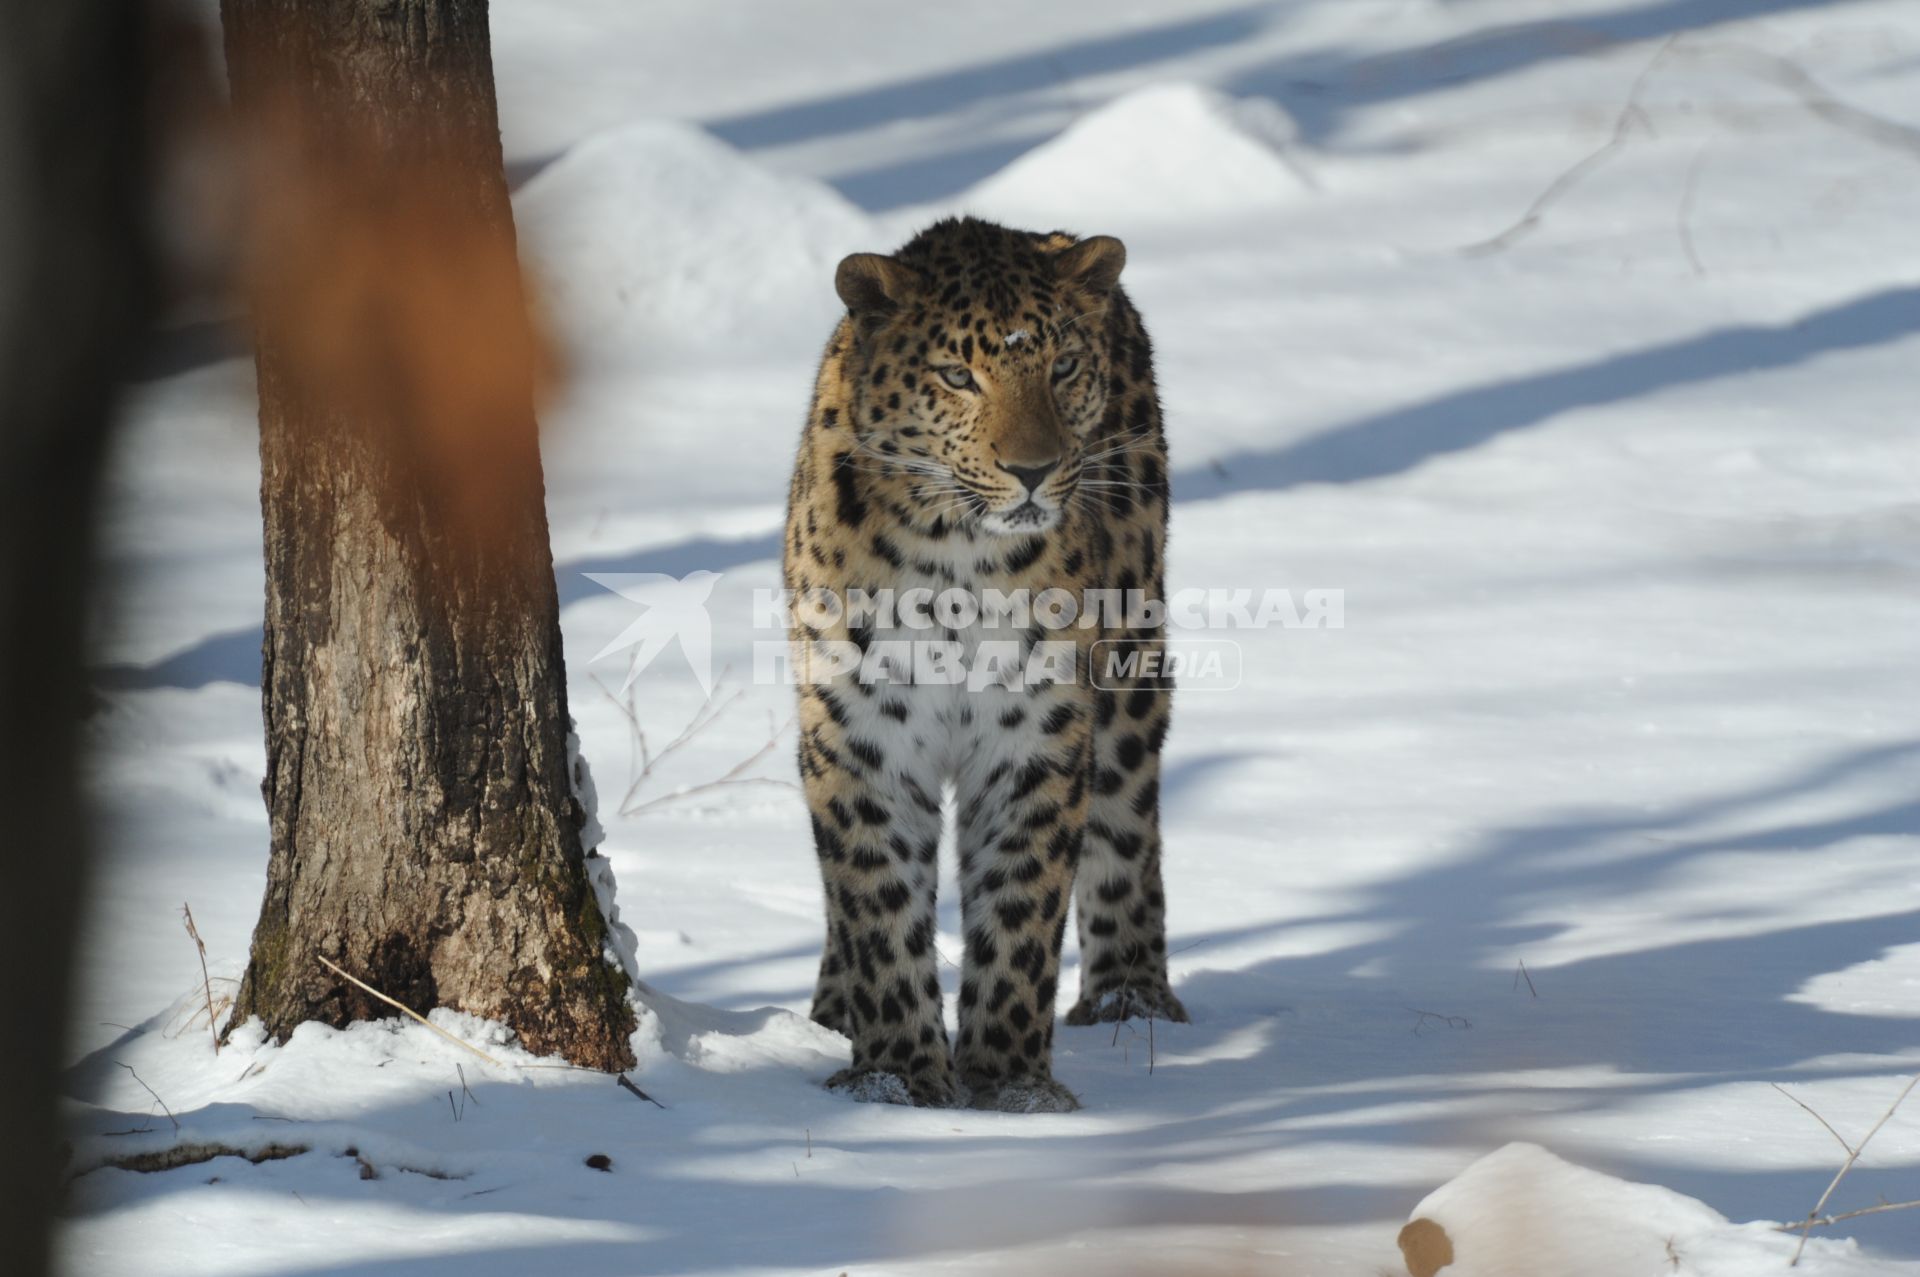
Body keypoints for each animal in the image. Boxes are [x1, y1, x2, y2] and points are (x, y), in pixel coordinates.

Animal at [783, 214, 1182, 1113]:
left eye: (1062, 365)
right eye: (958, 375)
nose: (1033, 471)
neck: (954, 560)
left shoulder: (1033, 735)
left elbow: (1021, 905)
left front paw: (1009, 1081)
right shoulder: (860, 735)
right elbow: (876, 904)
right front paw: (896, 1074)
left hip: (1132, 656)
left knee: (1128, 823)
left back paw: (1131, 999)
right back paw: (831, 1007)